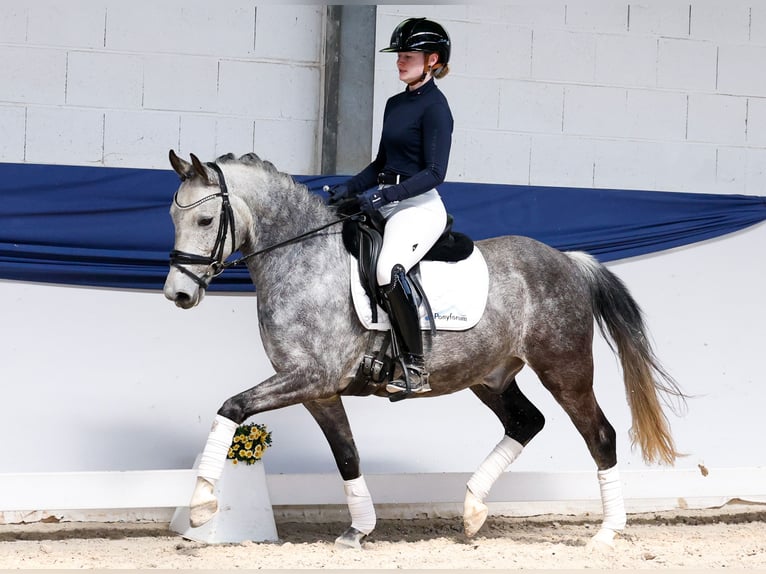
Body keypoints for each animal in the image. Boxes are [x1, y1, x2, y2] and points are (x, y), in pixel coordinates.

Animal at [163, 150, 686, 550]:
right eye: (172, 218)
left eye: (206, 219)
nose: (178, 294)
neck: (304, 259)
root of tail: (567, 261)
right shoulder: (320, 392)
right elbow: (347, 455)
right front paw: (358, 530)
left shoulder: (311, 378)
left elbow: (232, 408)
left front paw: (202, 504)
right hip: (490, 375)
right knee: (526, 422)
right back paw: (473, 510)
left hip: (565, 369)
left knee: (600, 435)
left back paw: (606, 533)